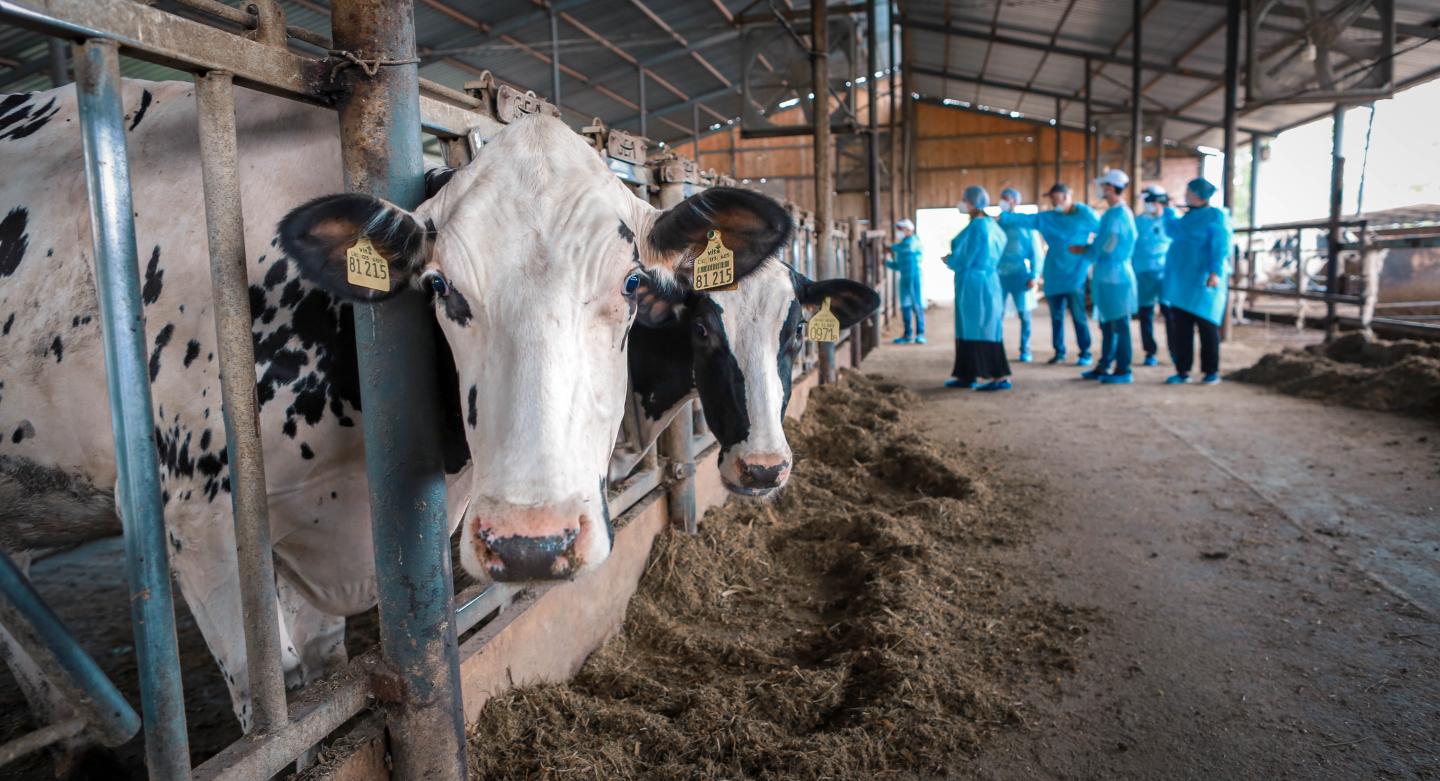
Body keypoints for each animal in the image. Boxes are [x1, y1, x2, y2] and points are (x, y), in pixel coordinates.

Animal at [0, 81, 789, 772]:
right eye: (441, 287)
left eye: (631, 283)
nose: (531, 544)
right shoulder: (198, 522)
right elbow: (275, 709)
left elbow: (321, 685)